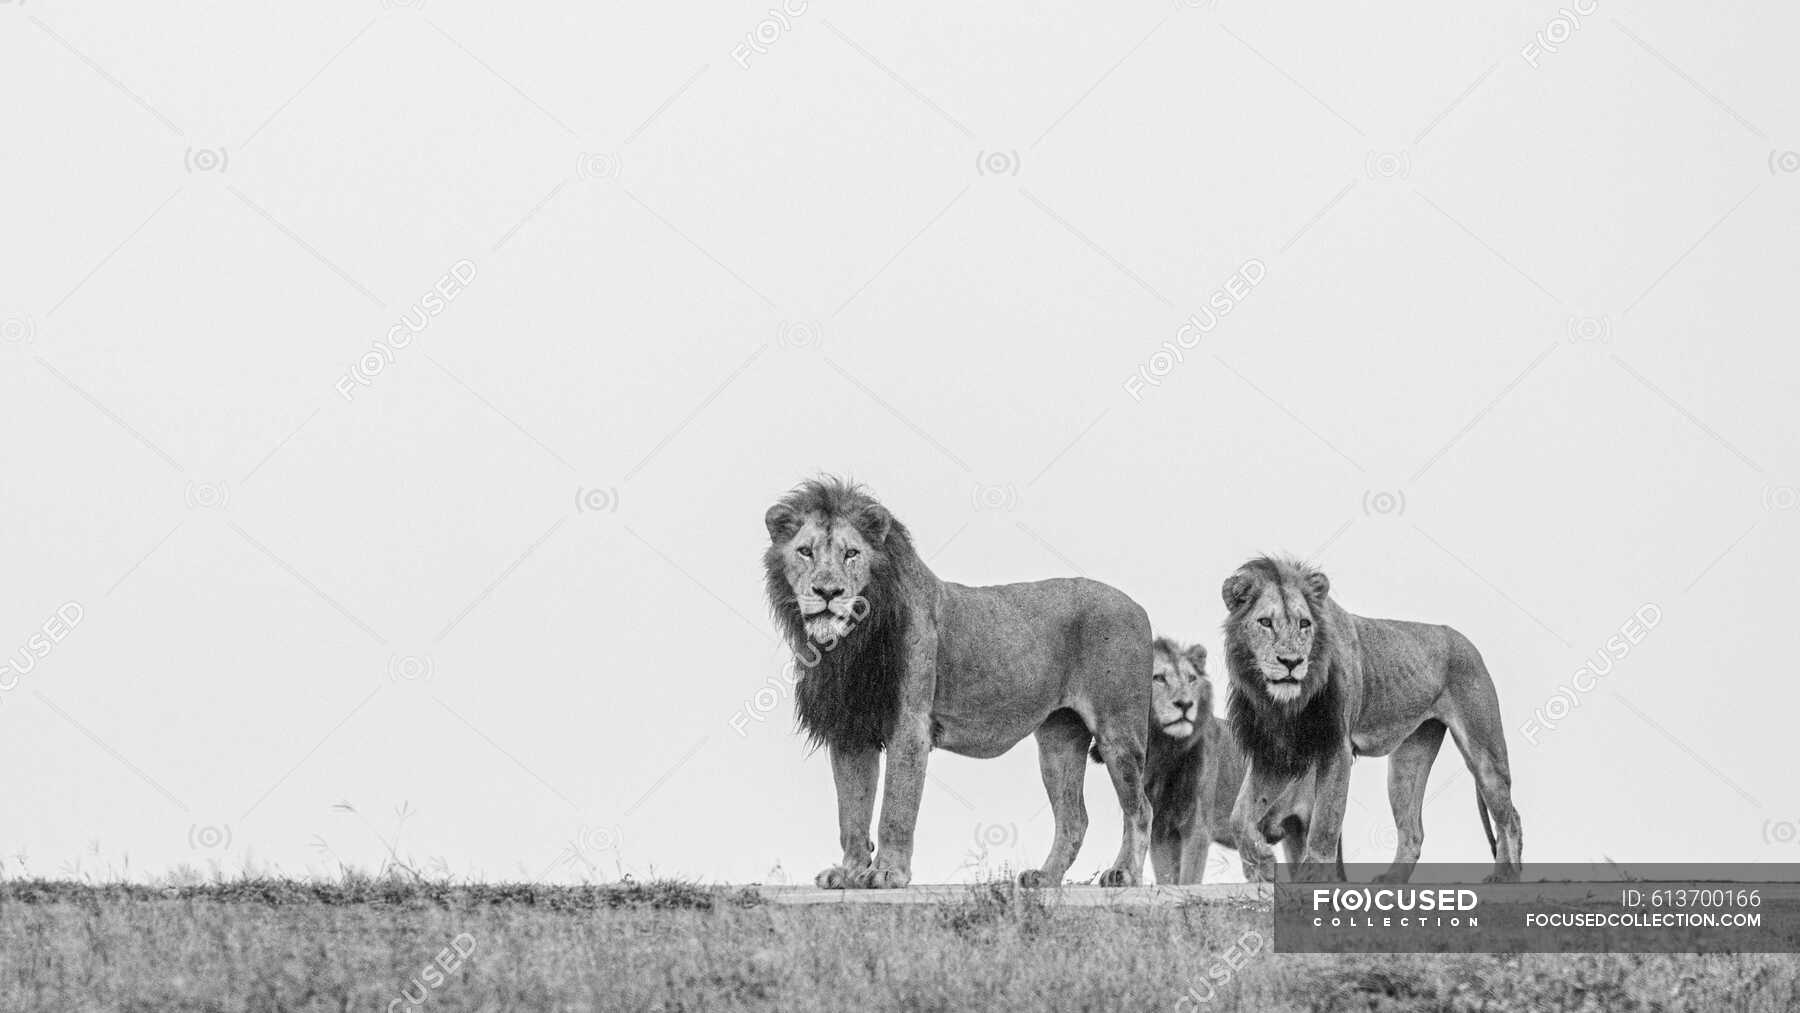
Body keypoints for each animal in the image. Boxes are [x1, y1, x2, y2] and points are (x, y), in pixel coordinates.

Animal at [759, 478, 1152, 892]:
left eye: (851, 553)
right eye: (805, 551)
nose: (828, 592)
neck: (849, 643)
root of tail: (1137, 606)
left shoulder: (910, 725)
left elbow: (895, 810)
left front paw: (887, 873)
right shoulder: (850, 730)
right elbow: (851, 812)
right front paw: (849, 872)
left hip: (1118, 733)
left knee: (1140, 808)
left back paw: (1124, 872)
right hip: (1058, 740)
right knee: (1074, 818)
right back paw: (1044, 877)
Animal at [1130, 640, 1274, 888]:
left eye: (1191, 678)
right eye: (1159, 678)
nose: (1185, 704)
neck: (1167, 751)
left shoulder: (1197, 828)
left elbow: (1188, 879)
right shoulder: (1160, 830)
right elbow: (1167, 877)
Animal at [1216, 557, 1526, 885]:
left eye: (1304, 624)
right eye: (1265, 622)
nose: (1292, 662)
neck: (1284, 703)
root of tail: (1463, 640)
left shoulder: (1336, 747)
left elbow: (1325, 822)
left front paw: (1313, 878)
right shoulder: (1277, 753)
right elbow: (1239, 815)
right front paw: (1262, 862)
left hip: (1484, 753)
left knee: (1510, 818)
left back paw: (1505, 875)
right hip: (1407, 762)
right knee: (1413, 832)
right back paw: (1392, 879)